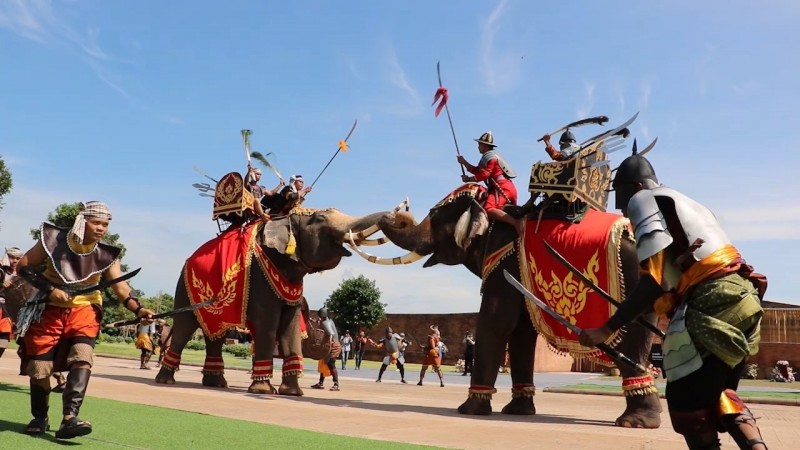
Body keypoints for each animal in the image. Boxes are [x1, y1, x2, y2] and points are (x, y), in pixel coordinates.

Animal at [155, 206, 392, 396]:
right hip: (184, 288)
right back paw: (166, 381)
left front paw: (293, 393)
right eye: (320, 218)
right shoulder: (260, 279)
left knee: (216, 334)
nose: (393, 216)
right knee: (184, 328)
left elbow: (291, 327)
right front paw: (263, 390)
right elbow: (267, 324)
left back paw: (216, 384)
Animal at [350, 184, 664, 428]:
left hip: (631, 283)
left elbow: (496, 322)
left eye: (435, 218)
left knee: (632, 343)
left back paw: (634, 422)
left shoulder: (504, 260)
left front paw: (470, 411)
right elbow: (522, 332)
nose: (400, 208)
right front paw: (518, 412)